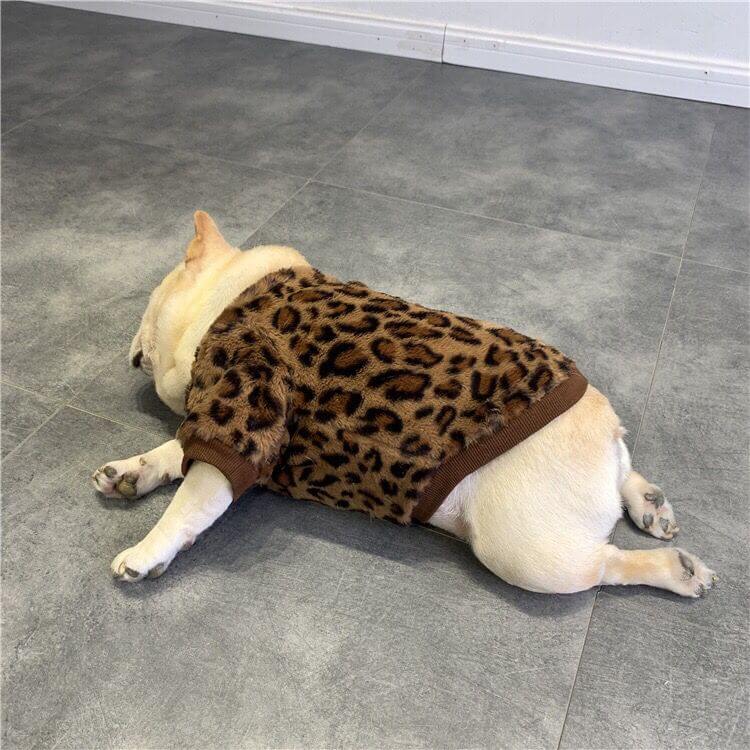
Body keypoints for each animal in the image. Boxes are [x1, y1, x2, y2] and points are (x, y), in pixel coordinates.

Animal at [93, 211, 716, 597]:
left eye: (152, 295)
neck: (223, 297)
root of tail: (601, 429)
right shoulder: (233, 436)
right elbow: (173, 451)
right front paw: (131, 472)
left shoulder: (244, 414)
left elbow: (189, 502)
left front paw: (146, 550)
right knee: (627, 473)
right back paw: (650, 503)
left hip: (526, 550)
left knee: (607, 565)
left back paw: (678, 571)